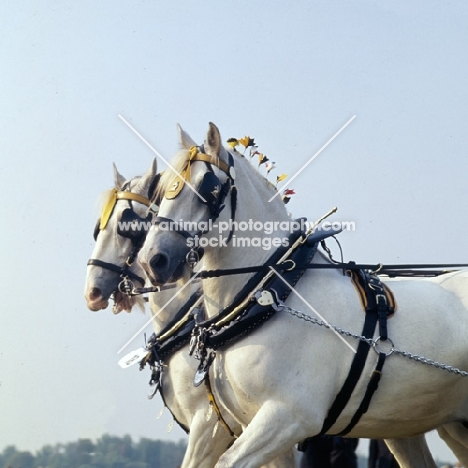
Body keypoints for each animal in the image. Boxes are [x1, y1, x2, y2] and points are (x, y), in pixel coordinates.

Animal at [138, 122, 468, 466]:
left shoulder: (289, 416)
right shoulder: (239, 423)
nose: (152, 259)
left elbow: (229, 461)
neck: (270, 294)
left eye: (208, 187)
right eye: (162, 190)